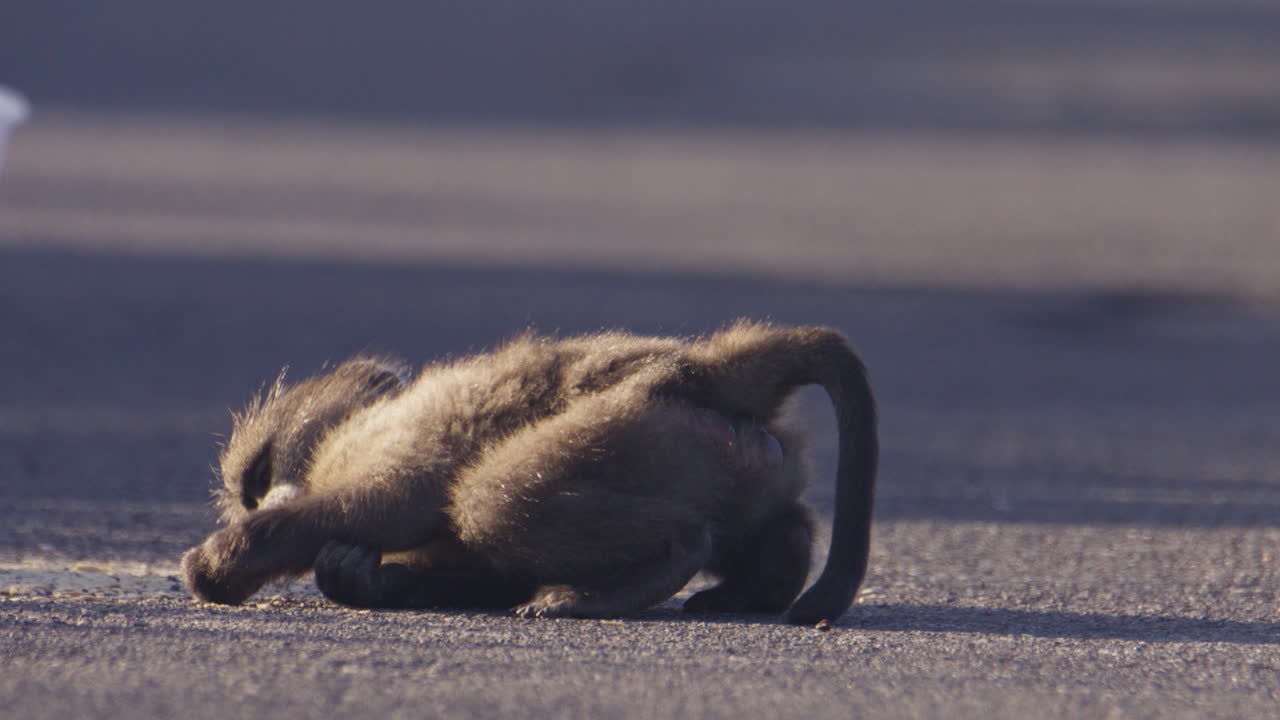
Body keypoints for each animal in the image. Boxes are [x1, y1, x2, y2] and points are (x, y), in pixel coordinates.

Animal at [181, 321, 878, 625]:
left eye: (256, 478)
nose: (258, 500)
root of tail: (700, 369)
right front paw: (360, 578)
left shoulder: (393, 439)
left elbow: (376, 505)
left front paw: (215, 566)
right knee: (781, 527)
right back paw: (761, 580)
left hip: (631, 426)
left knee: (488, 501)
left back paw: (625, 582)